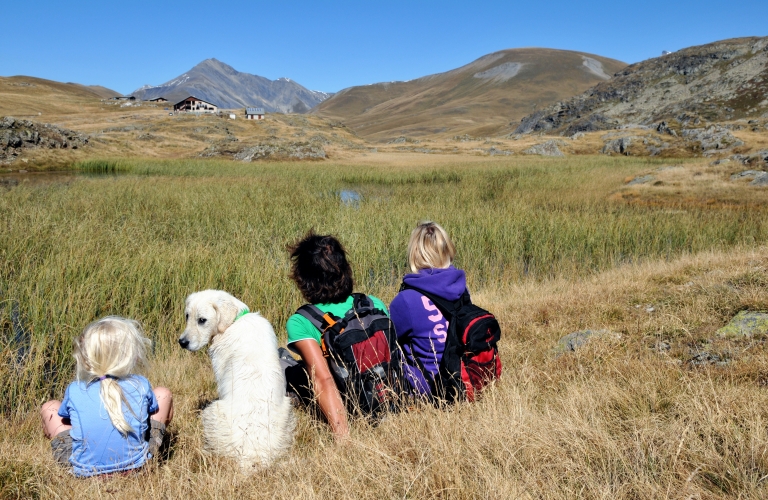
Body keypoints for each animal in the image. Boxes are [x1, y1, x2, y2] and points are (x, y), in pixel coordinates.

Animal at [180, 290, 296, 468]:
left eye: (202, 320)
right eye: (187, 316)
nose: (182, 342)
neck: (235, 321)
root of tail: (253, 457)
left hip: (211, 411)